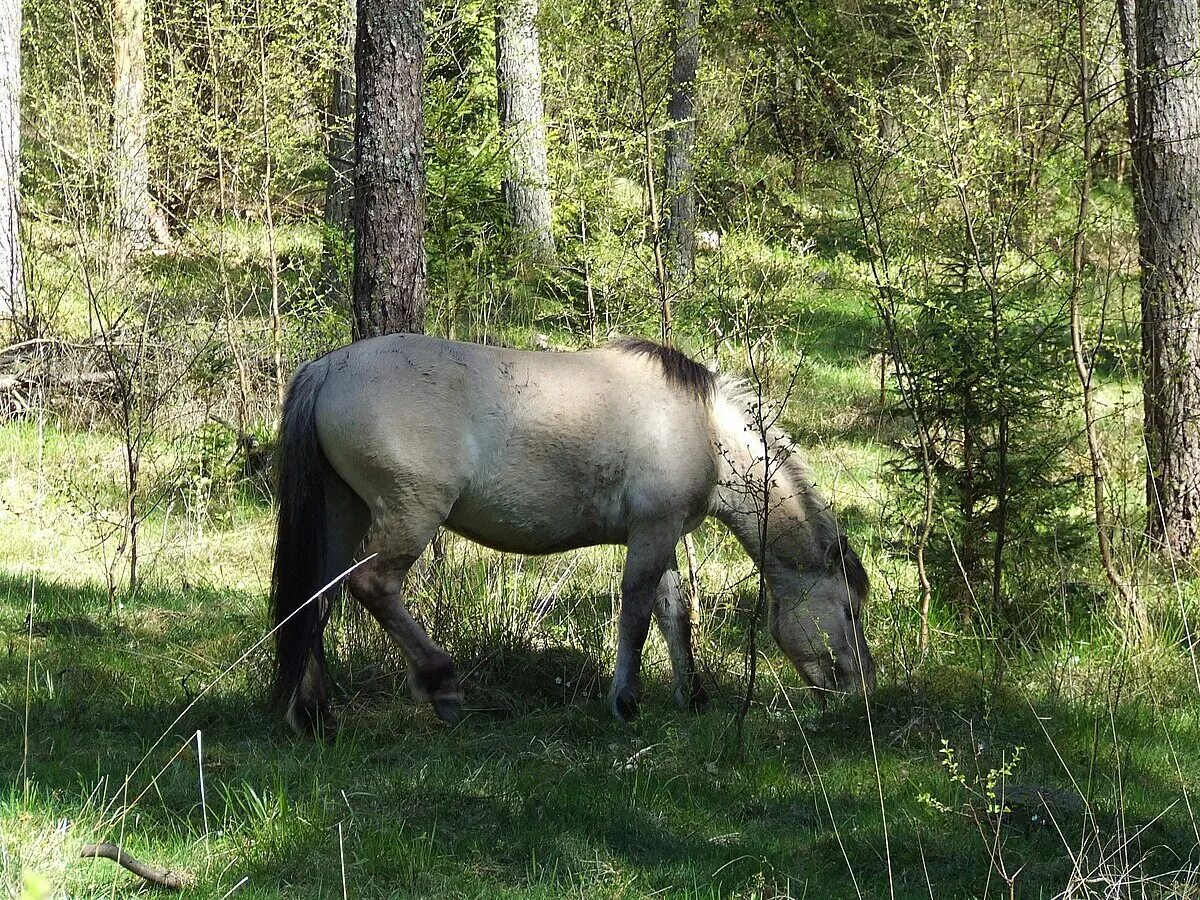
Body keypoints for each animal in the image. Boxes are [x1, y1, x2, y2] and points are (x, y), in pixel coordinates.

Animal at [267, 336, 878, 734]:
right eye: (849, 609)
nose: (863, 685)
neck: (701, 427)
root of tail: (327, 369)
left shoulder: (660, 534)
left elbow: (673, 614)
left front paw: (693, 695)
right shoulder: (652, 532)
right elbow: (636, 614)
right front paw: (626, 701)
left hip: (342, 513)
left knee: (314, 600)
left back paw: (315, 715)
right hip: (408, 515)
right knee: (372, 586)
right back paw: (442, 686)